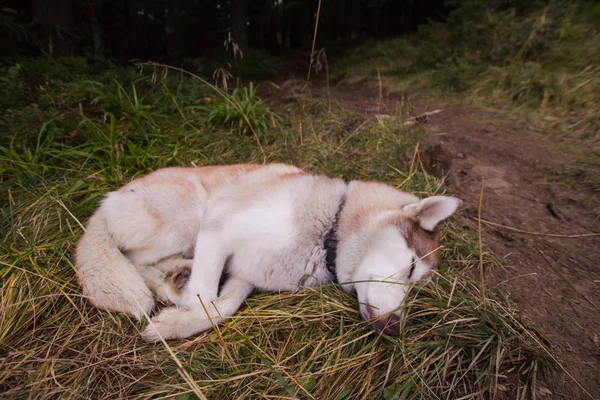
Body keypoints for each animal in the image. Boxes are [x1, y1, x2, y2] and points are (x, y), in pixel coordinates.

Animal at [75, 162, 460, 340]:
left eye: (417, 286)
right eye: (411, 268)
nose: (395, 328)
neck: (328, 232)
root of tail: (109, 198)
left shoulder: (246, 275)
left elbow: (223, 306)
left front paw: (178, 322)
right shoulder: (217, 230)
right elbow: (204, 295)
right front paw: (180, 316)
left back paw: (175, 276)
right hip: (188, 215)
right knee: (132, 258)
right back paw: (171, 278)